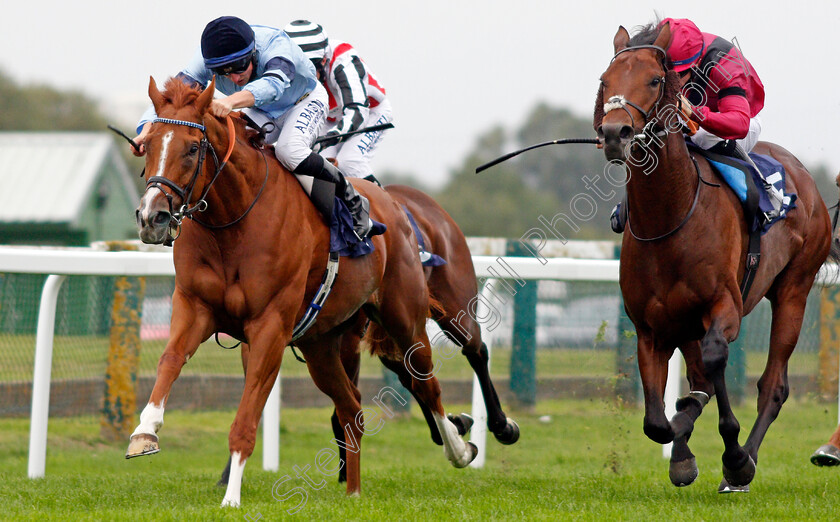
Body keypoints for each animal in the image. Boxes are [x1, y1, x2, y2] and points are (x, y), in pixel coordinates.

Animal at [127, 76, 476, 504]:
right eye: (147, 143)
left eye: (192, 148)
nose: (151, 217)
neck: (233, 223)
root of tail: (395, 206)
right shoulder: (195, 307)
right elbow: (170, 360)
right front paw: (145, 432)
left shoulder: (270, 327)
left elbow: (247, 417)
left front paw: (231, 498)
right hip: (319, 345)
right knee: (352, 409)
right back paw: (353, 492)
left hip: (404, 319)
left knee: (427, 383)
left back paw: (460, 449)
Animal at [592, 22, 836, 490]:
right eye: (604, 81)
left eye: (655, 80)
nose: (615, 133)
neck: (669, 217)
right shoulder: (650, 328)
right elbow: (657, 421)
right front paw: (682, 453)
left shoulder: (724, 306)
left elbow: (714, 363)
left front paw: (733, 456)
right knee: (700, 377)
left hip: (794, 290)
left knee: (772, 385)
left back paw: (743, 464)